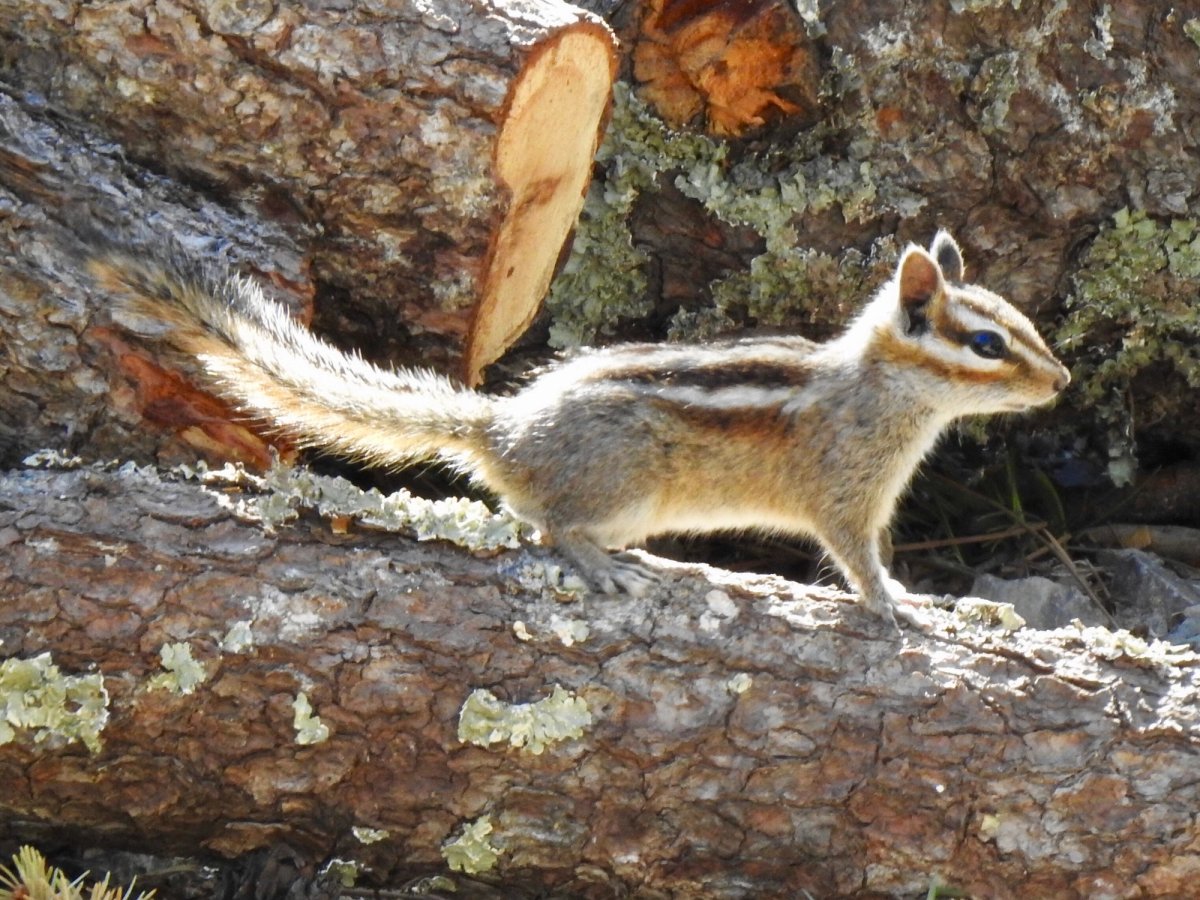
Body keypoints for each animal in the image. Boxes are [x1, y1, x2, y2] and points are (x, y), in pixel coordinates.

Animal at [83, 229, 1069, 630]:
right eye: (986, 344)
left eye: (1020, 323)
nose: (1060, 382)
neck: (884, 391)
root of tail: (503, 429)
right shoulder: (845, 494)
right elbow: (858, 562)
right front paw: (902, 606)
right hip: (621, 483)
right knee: (549, 524)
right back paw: (601, 566)